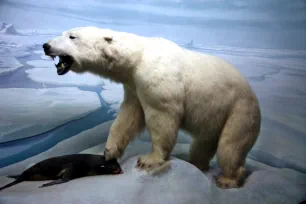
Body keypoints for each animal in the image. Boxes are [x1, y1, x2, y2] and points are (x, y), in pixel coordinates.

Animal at [43, 26, 260, 189]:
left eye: (72, 36)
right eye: (64, 33)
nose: (46, 45)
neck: (138, 56)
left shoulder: (156, 78)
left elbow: (162, 116)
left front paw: (149, 160)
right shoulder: (133, 85)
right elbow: (128, 116)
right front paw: (109, 151)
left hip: (239, 111)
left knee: (230, 147)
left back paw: (227, 179)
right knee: (203, 143)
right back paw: (196, 163)